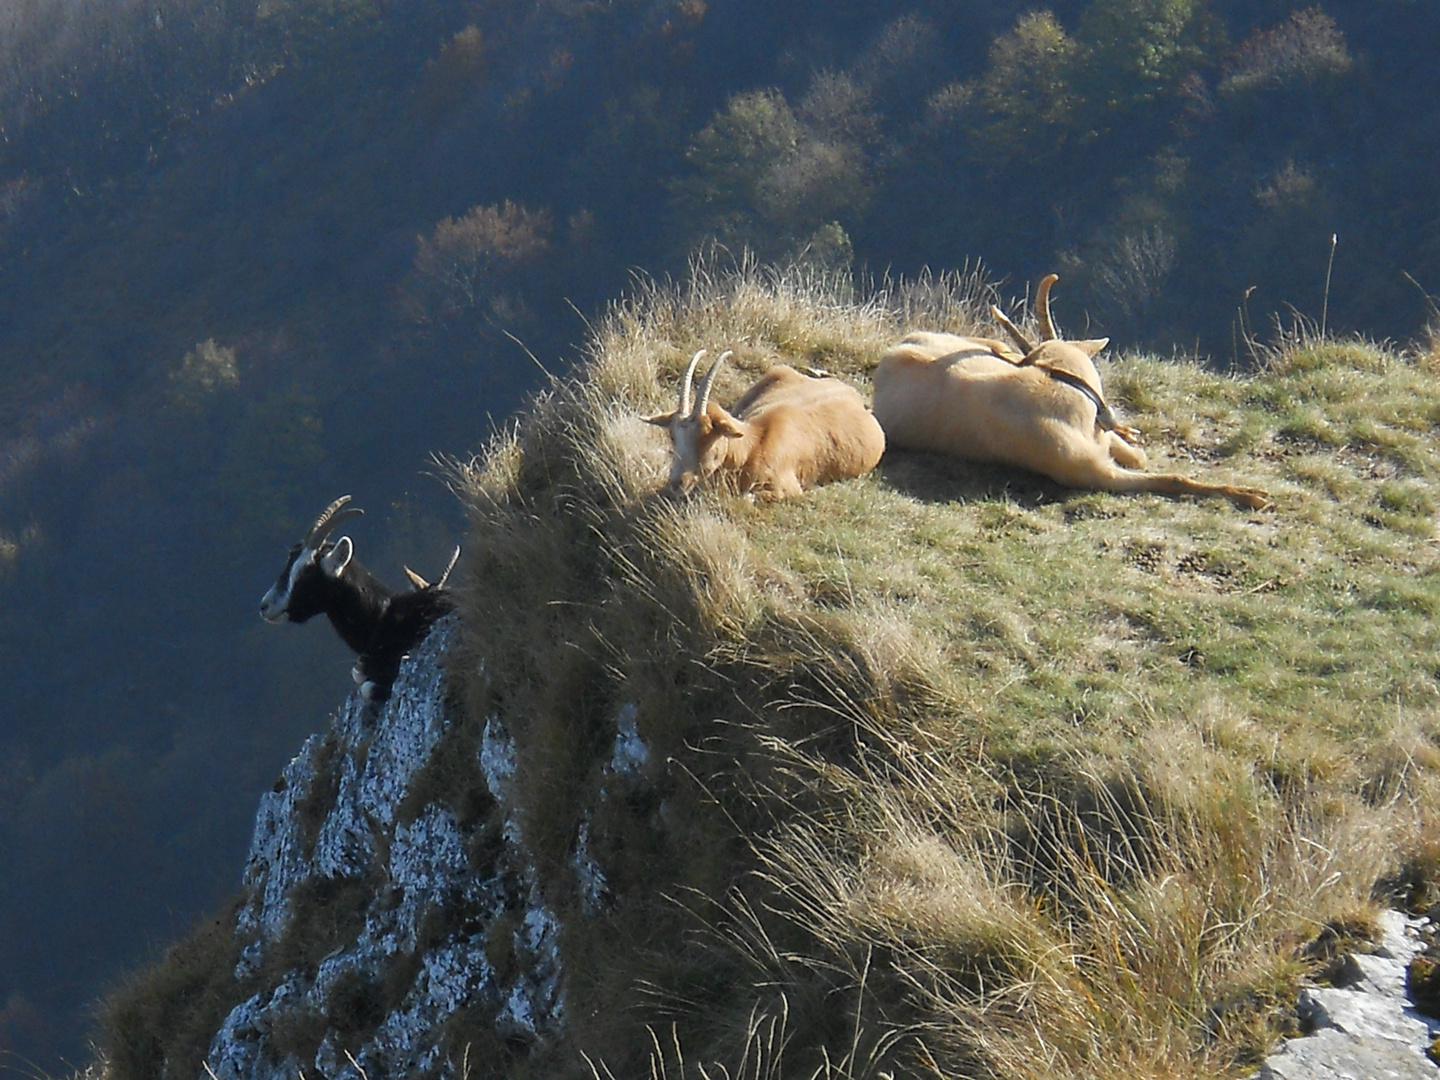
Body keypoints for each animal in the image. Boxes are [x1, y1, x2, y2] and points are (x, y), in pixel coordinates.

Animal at [648, 348, 881, 501]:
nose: (677, 484)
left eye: (708, 434)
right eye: (673, 435)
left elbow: (747, 498)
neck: (753, 444)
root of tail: (854, 396)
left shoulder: (789, 488)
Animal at [864, 275, 1272, 512]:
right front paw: (1251, 496)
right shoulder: (1093, 473)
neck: (1056, 388)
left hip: (988, 347)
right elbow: (1169, 479)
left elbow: (1136, 456)